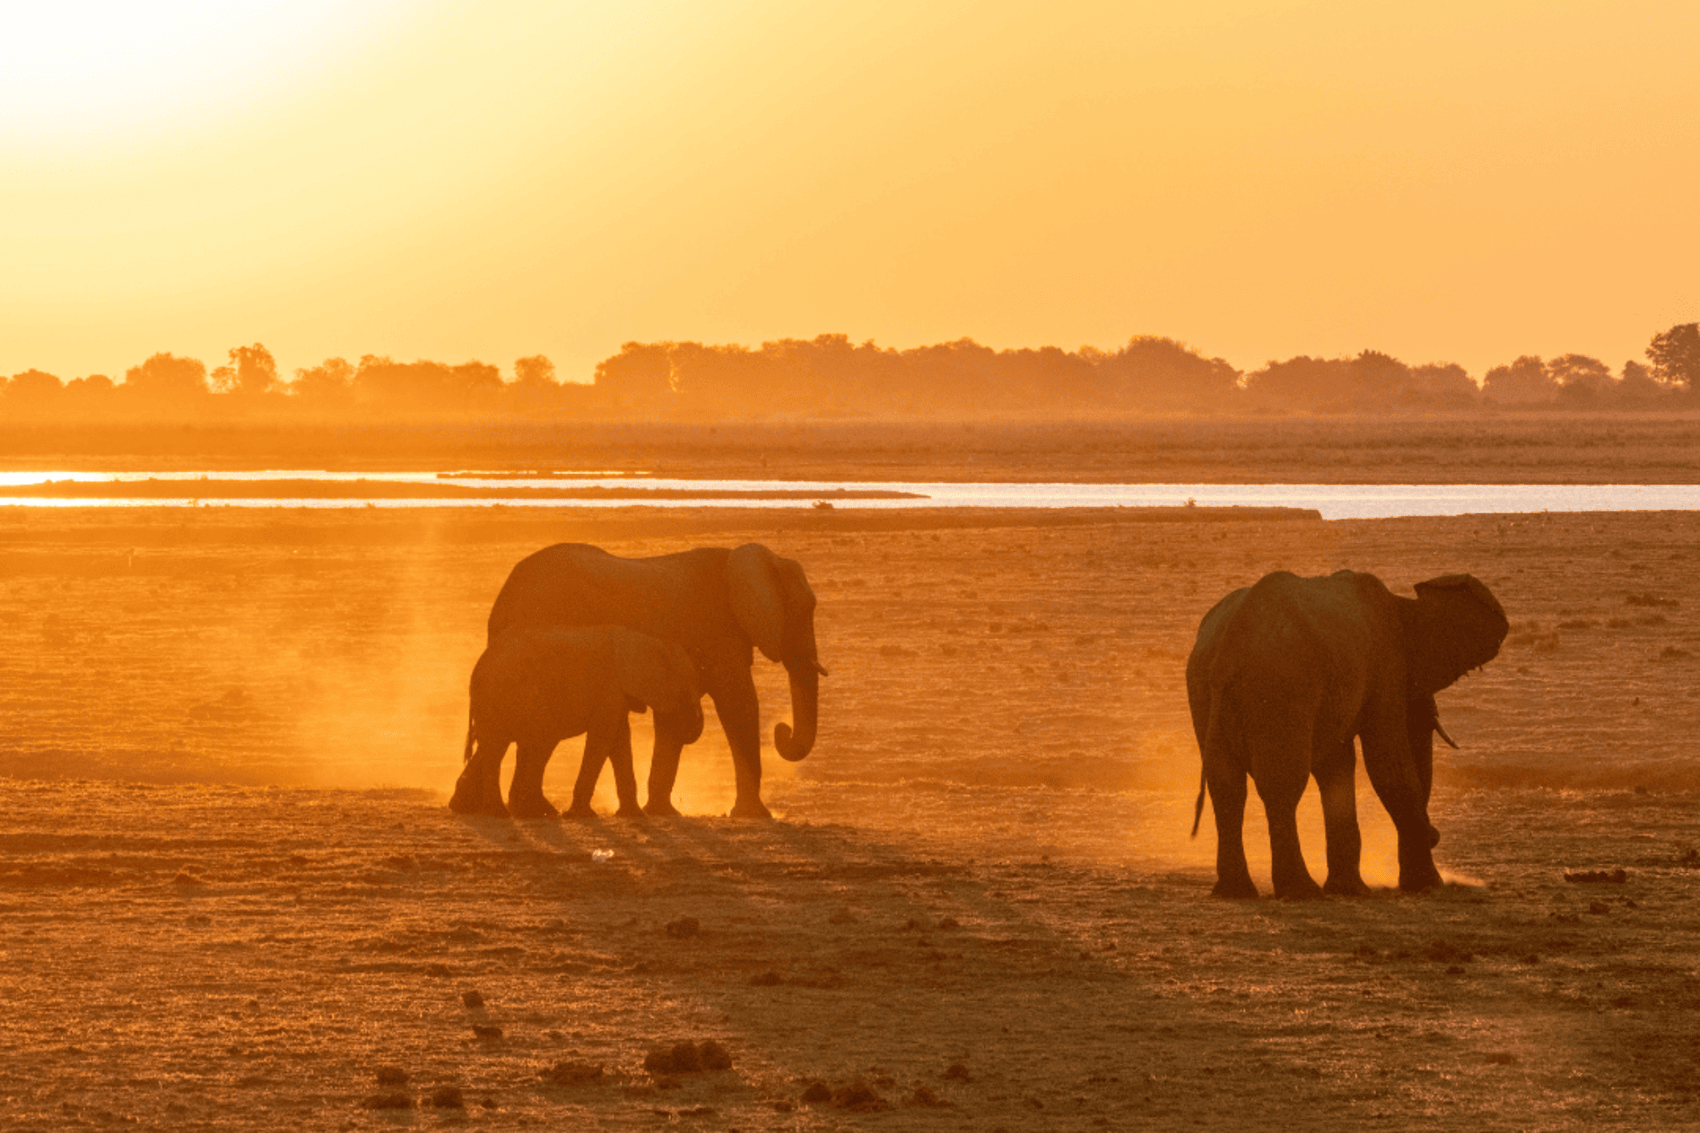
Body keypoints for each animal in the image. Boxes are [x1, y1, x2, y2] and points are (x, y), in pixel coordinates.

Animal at [448, 625, 704, 819]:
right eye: (687, 687)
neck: (645, 638)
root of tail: (480, 666)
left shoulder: (614, 693)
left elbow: (618, 739)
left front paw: (633, 816)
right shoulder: (609, 687)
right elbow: (603, 738)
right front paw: (581, 815)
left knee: (500, 746)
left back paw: (480, 809)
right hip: (509, 695)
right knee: (518, 745)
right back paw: (512, 813)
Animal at [483, 543, 825, 819]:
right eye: (805, 610)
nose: (782, 730)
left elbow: (673, 719)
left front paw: (663, 812)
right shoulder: (719, 633)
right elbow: (738, 704)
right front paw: (755, 815)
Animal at [1186, 570, 1508, 899]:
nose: (1434, 834)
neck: (1403, 603)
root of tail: (1230, 644)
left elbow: (1335, 766)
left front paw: (1350, 890)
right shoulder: (1384, 664)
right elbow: (1385, 760)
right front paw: (1429, 885)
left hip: (1205, 686)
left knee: (1227, 786)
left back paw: (1235, 892)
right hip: (1282, 687)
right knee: (1282, 785)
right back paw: (1302, 892)